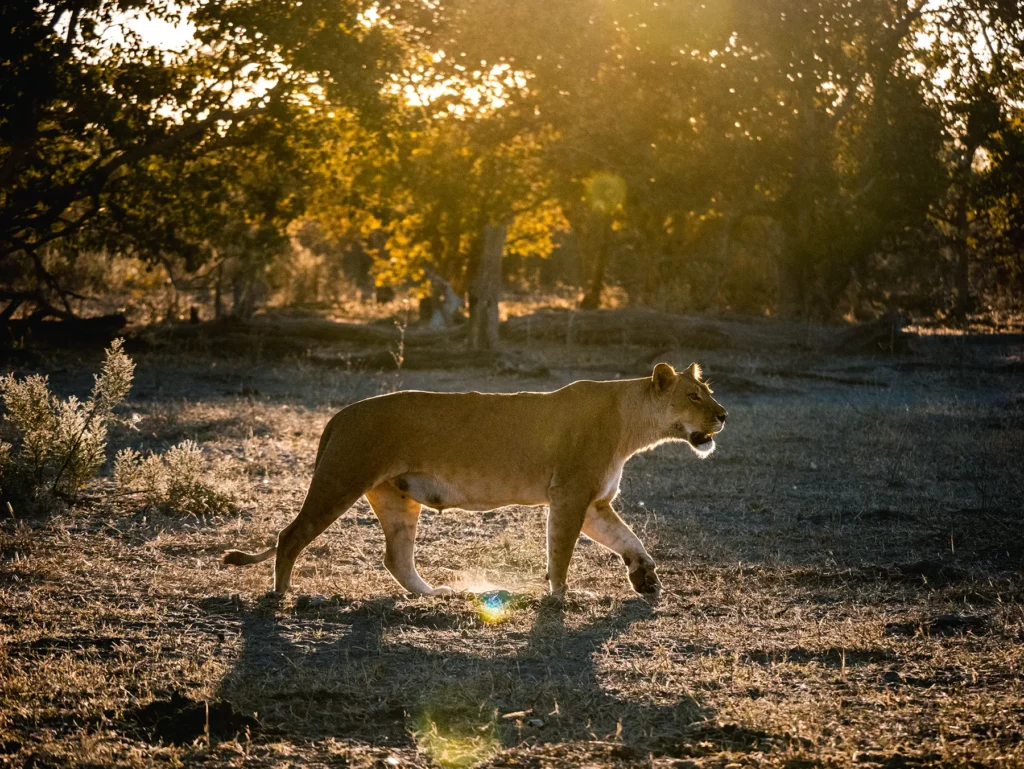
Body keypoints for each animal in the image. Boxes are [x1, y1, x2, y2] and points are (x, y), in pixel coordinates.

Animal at [222, 362, 727, 598]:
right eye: (693, 396)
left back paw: (433, 594)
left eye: (709, 393)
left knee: (396, 558)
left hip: (396, 498)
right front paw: (561, 596)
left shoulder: (594, 503)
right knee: (291, 534)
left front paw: (645, 578)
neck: (631, 427)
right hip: (340, 479)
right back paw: (281, 593)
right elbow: (560, 552)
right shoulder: (569, 494)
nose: (723, 415)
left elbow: (629, 538)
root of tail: (339, 415)